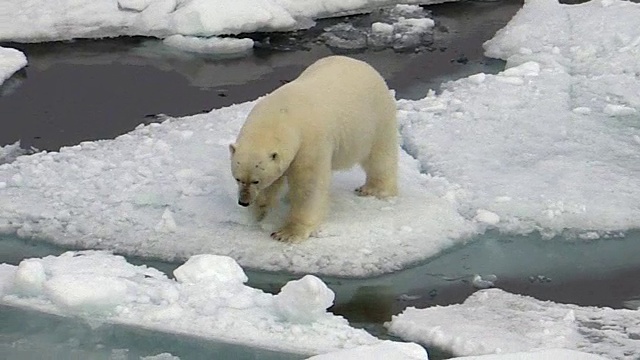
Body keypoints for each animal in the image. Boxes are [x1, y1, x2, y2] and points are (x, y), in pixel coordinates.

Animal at [230, 55, 398, 242]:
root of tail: (363, 64)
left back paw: (373, 189)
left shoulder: (310, 143)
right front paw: (260, 211)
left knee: (379, 155)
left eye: (256, 181)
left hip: (376, 118)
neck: (282, 115)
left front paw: (287, 233)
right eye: (238, 178)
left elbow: (308, 186)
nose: (243, 201)